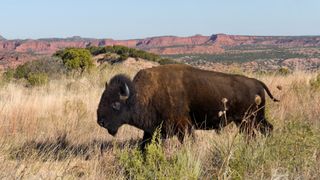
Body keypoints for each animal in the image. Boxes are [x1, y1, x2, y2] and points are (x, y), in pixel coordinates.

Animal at [96, 64, 278, 148]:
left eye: (115, 103)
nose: (101, 121)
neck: (142, 95)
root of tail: (256, 82)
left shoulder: (183, 127)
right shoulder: (151, 131)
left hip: (249, 120)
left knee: (257, 132)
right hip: (249, 120)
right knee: (266, 129)